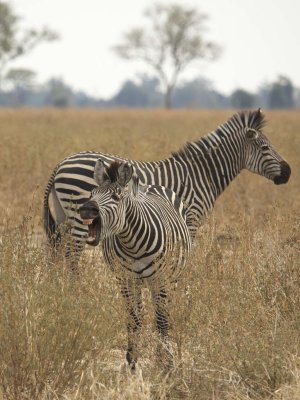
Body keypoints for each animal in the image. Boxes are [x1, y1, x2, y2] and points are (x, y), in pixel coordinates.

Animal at [44, 108, 290, 266]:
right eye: (265, 147)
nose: (288, 172)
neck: (202, 174)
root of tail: (60, 163)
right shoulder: (191, 218)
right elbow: (187, 252)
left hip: (64, 216)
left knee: (58, 254)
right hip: (81, 216)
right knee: (71, 256)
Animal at [77, 159, 190, 368]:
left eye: (116, 196)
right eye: (91, 194)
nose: (86, 209)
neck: (132, 244)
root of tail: (150, 185)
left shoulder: (160, 279)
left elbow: (162, 320)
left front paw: (168, 363)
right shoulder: (125, 279)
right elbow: (133, 318)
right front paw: (132, 359)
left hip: (172, 277)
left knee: (164, 312)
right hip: (139, 282)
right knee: (144, 312)